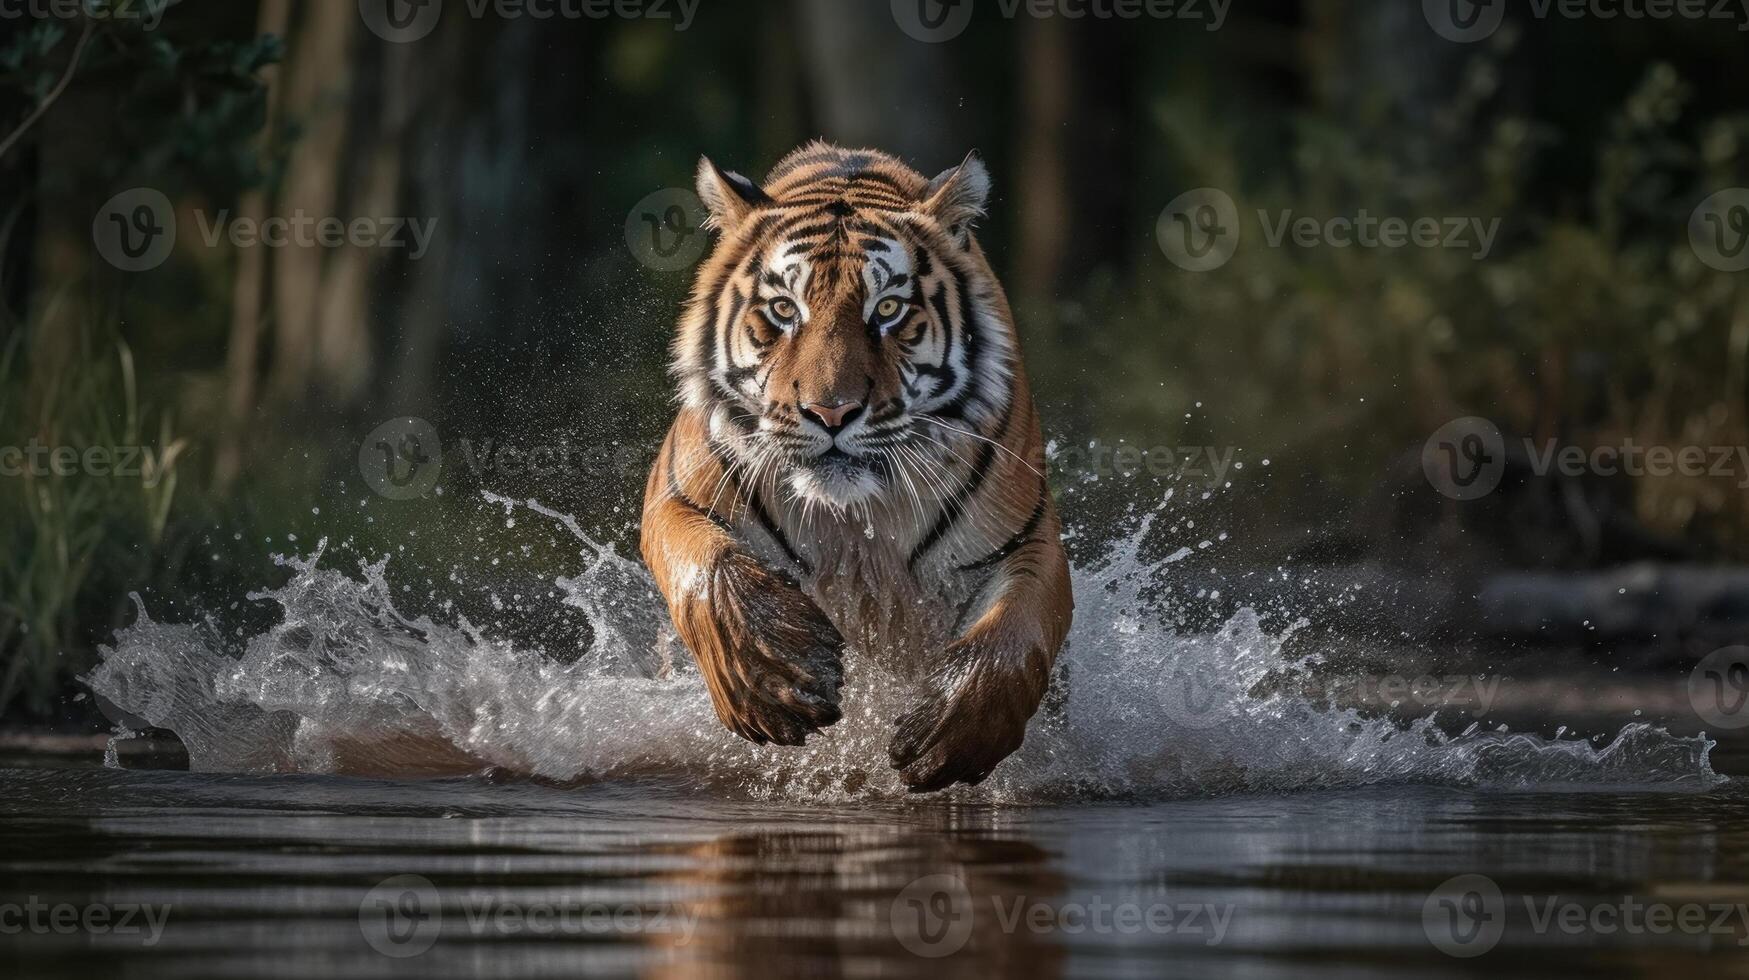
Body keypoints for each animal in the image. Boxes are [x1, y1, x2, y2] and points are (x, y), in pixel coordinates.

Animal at [643, 141, 1070, 791]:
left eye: (888, 308)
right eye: (783, 309)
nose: (831, 411)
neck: (853, 518)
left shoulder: (1027, 538)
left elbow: (1011, 634)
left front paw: (948, 737)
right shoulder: (675, 497)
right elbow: (709, 574)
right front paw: (775, 678)